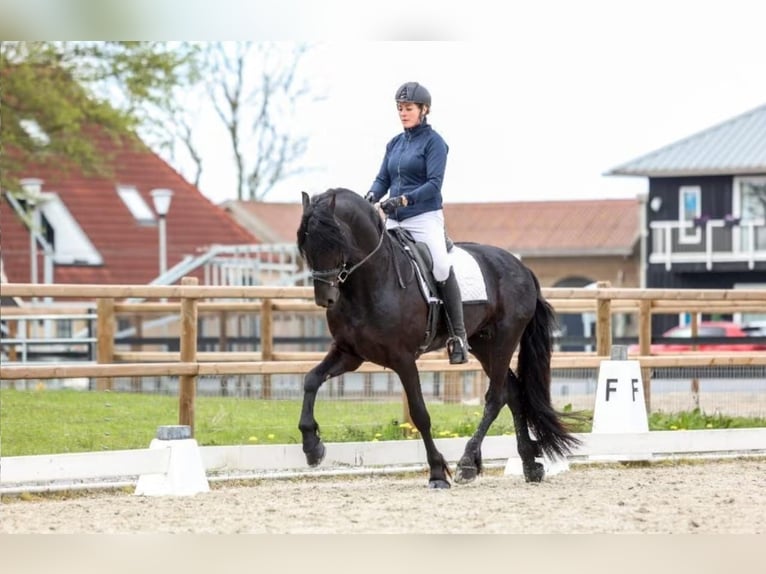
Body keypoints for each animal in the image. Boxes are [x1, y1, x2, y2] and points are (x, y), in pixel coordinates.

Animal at [296, 187, 580, 488]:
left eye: (334, 239)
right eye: (305, 243)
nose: (325, 298)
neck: (371, 281)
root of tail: (521, 268)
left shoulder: (403, 359)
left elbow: (420, 413)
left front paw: (436, 472)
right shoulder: (349, 354)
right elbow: (311, 380)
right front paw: (312, 446)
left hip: (505, 339)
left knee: (496, 396)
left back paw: (467, 464)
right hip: (484, 344)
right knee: (513, 393)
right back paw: (529, 465)